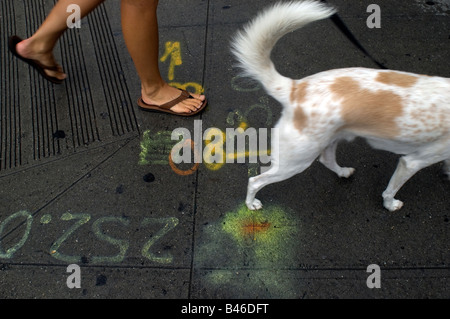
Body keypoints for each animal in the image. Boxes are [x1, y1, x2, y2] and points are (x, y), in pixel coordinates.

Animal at [232, 0, 450, 212]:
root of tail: (295, 88)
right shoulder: (412, 162)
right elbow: (391, 190)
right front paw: (390, 205)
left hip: (329, 140)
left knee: (326, 160)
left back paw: (343, 172)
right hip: (295, 161)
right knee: (255, 180)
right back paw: (251, 204)